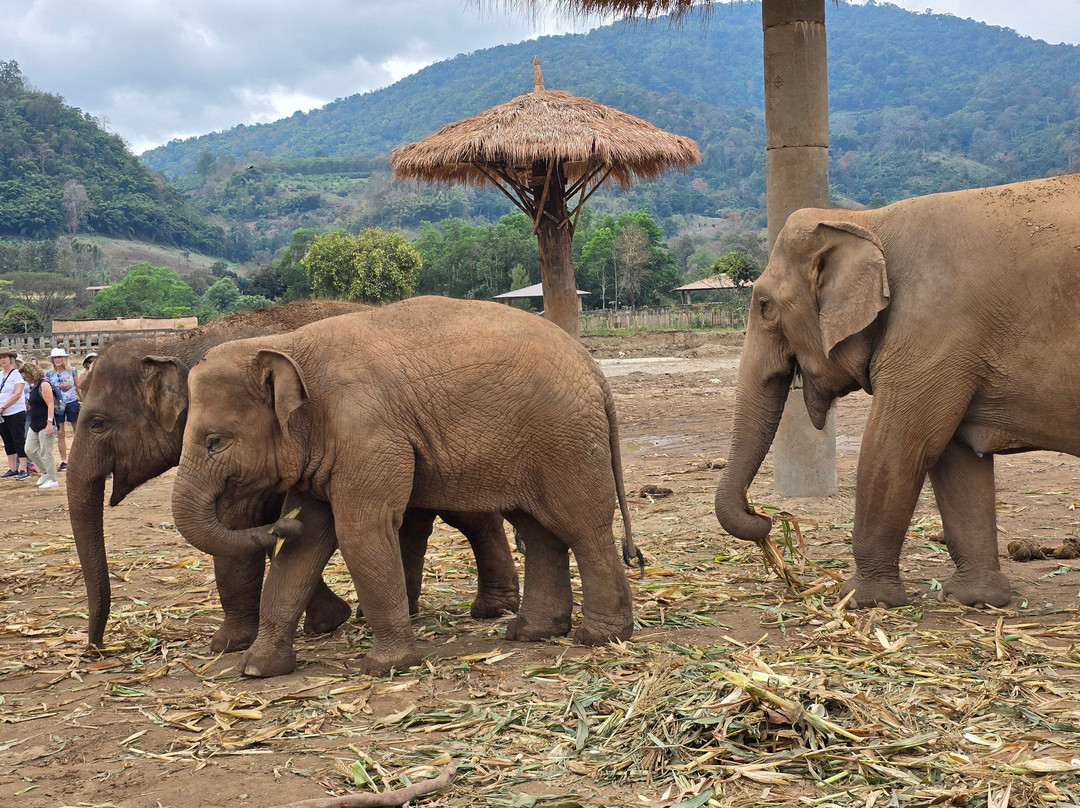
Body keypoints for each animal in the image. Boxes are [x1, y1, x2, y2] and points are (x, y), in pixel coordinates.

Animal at [68, 300, 519, 654]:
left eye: (97, 423)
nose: (97, 648)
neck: (175, 344)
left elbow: (241, 520)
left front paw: (233, 643)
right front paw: (319, 622)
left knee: (468, 514)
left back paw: (494, 608)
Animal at [170, 296, 640, 677]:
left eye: (215, 441)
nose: (280, 521)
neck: (288, 344)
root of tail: (594, 370)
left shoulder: (367, 431)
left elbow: (360, 530)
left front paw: (386, 667)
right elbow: (308, 543)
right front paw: (257, 670)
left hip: (565, 440)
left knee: (582, 525)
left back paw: (599, 638)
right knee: (538, 530)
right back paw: (531, 633)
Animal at [714, 173, 1080, 609]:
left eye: (765, 305)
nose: (767, 517)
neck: (868, 221)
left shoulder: (936, 327)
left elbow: (899, 446)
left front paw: (860, 599)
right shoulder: (953, 348)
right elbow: (955, 456)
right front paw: (975, 600)